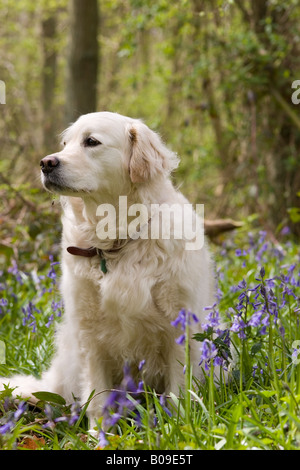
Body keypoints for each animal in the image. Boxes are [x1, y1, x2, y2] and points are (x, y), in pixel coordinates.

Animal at [1, 113, 214, 426]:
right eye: (65, 144)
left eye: (91, 141)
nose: (46, 163)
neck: (118, 240)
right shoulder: (89, 332)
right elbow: (97, 395)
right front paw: (98, 433)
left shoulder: (181, 322)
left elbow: (178, 390)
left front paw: (178, 426)